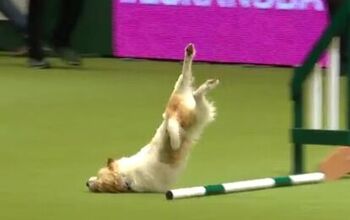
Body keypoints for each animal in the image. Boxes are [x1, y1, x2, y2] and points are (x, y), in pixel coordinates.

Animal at [87, 43, 219, 192]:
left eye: (99, 183)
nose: (86, 183)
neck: (126, 176)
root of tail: (172, 112)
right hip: (190, 102)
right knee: (187, 79)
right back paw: (198, 65)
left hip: (190, 109)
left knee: (193, 92)